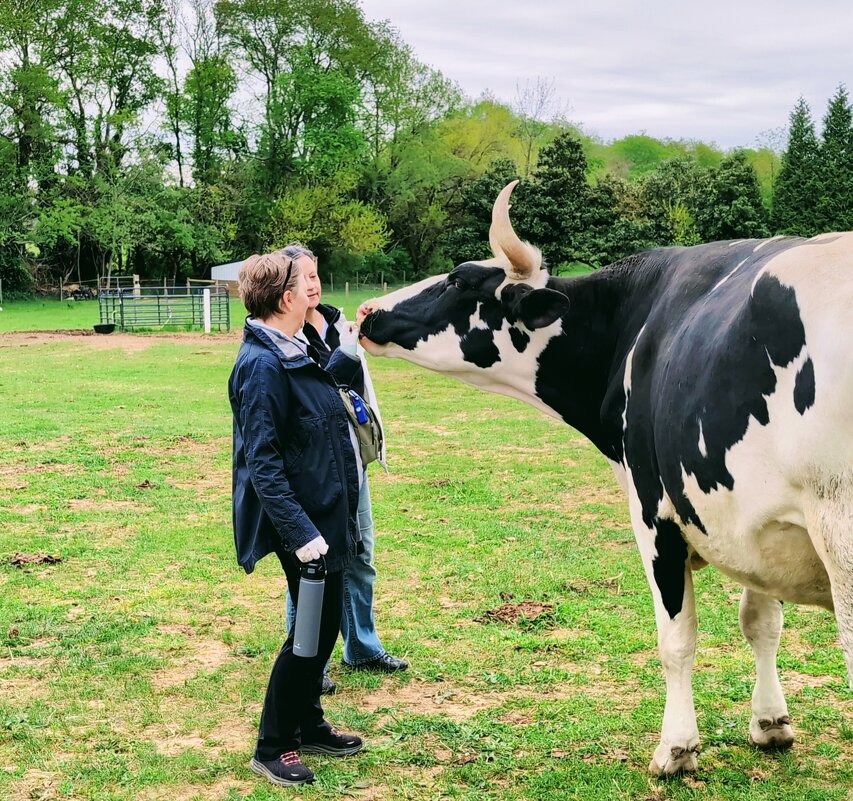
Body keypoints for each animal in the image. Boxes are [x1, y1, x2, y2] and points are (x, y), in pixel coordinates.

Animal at [356, 181, 852, 776]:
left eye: (458, 278)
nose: (365, 312)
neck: (630, 323)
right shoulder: (751, 520)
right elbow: (760, 621)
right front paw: (770, 723)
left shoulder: (654, 512)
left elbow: (676, 637)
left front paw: (676, 748)